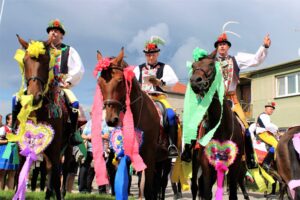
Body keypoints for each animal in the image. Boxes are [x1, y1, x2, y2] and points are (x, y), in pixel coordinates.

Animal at [17, 35, 70, 199]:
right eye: (25, 60)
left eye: (47, 61)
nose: (35, 97)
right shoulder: (24, 147)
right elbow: (20, 175)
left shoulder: (55, 149)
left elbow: (57, 178)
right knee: (49, 170)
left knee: (61, 171)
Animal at [96, 48, 170, 198]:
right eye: (100, 83)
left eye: (119, 81)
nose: (111, 119)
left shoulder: (149, 155)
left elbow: (148, 189)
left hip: (166, 161)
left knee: (162, 183)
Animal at [190, 50, 246, 200]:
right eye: (193, 65)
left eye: (210, 64)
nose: (195, 81)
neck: (221, 128)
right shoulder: (206, 163)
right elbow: (206, 193)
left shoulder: (235, 165)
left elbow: (233, 193)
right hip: (195, 162)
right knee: (195, 186)